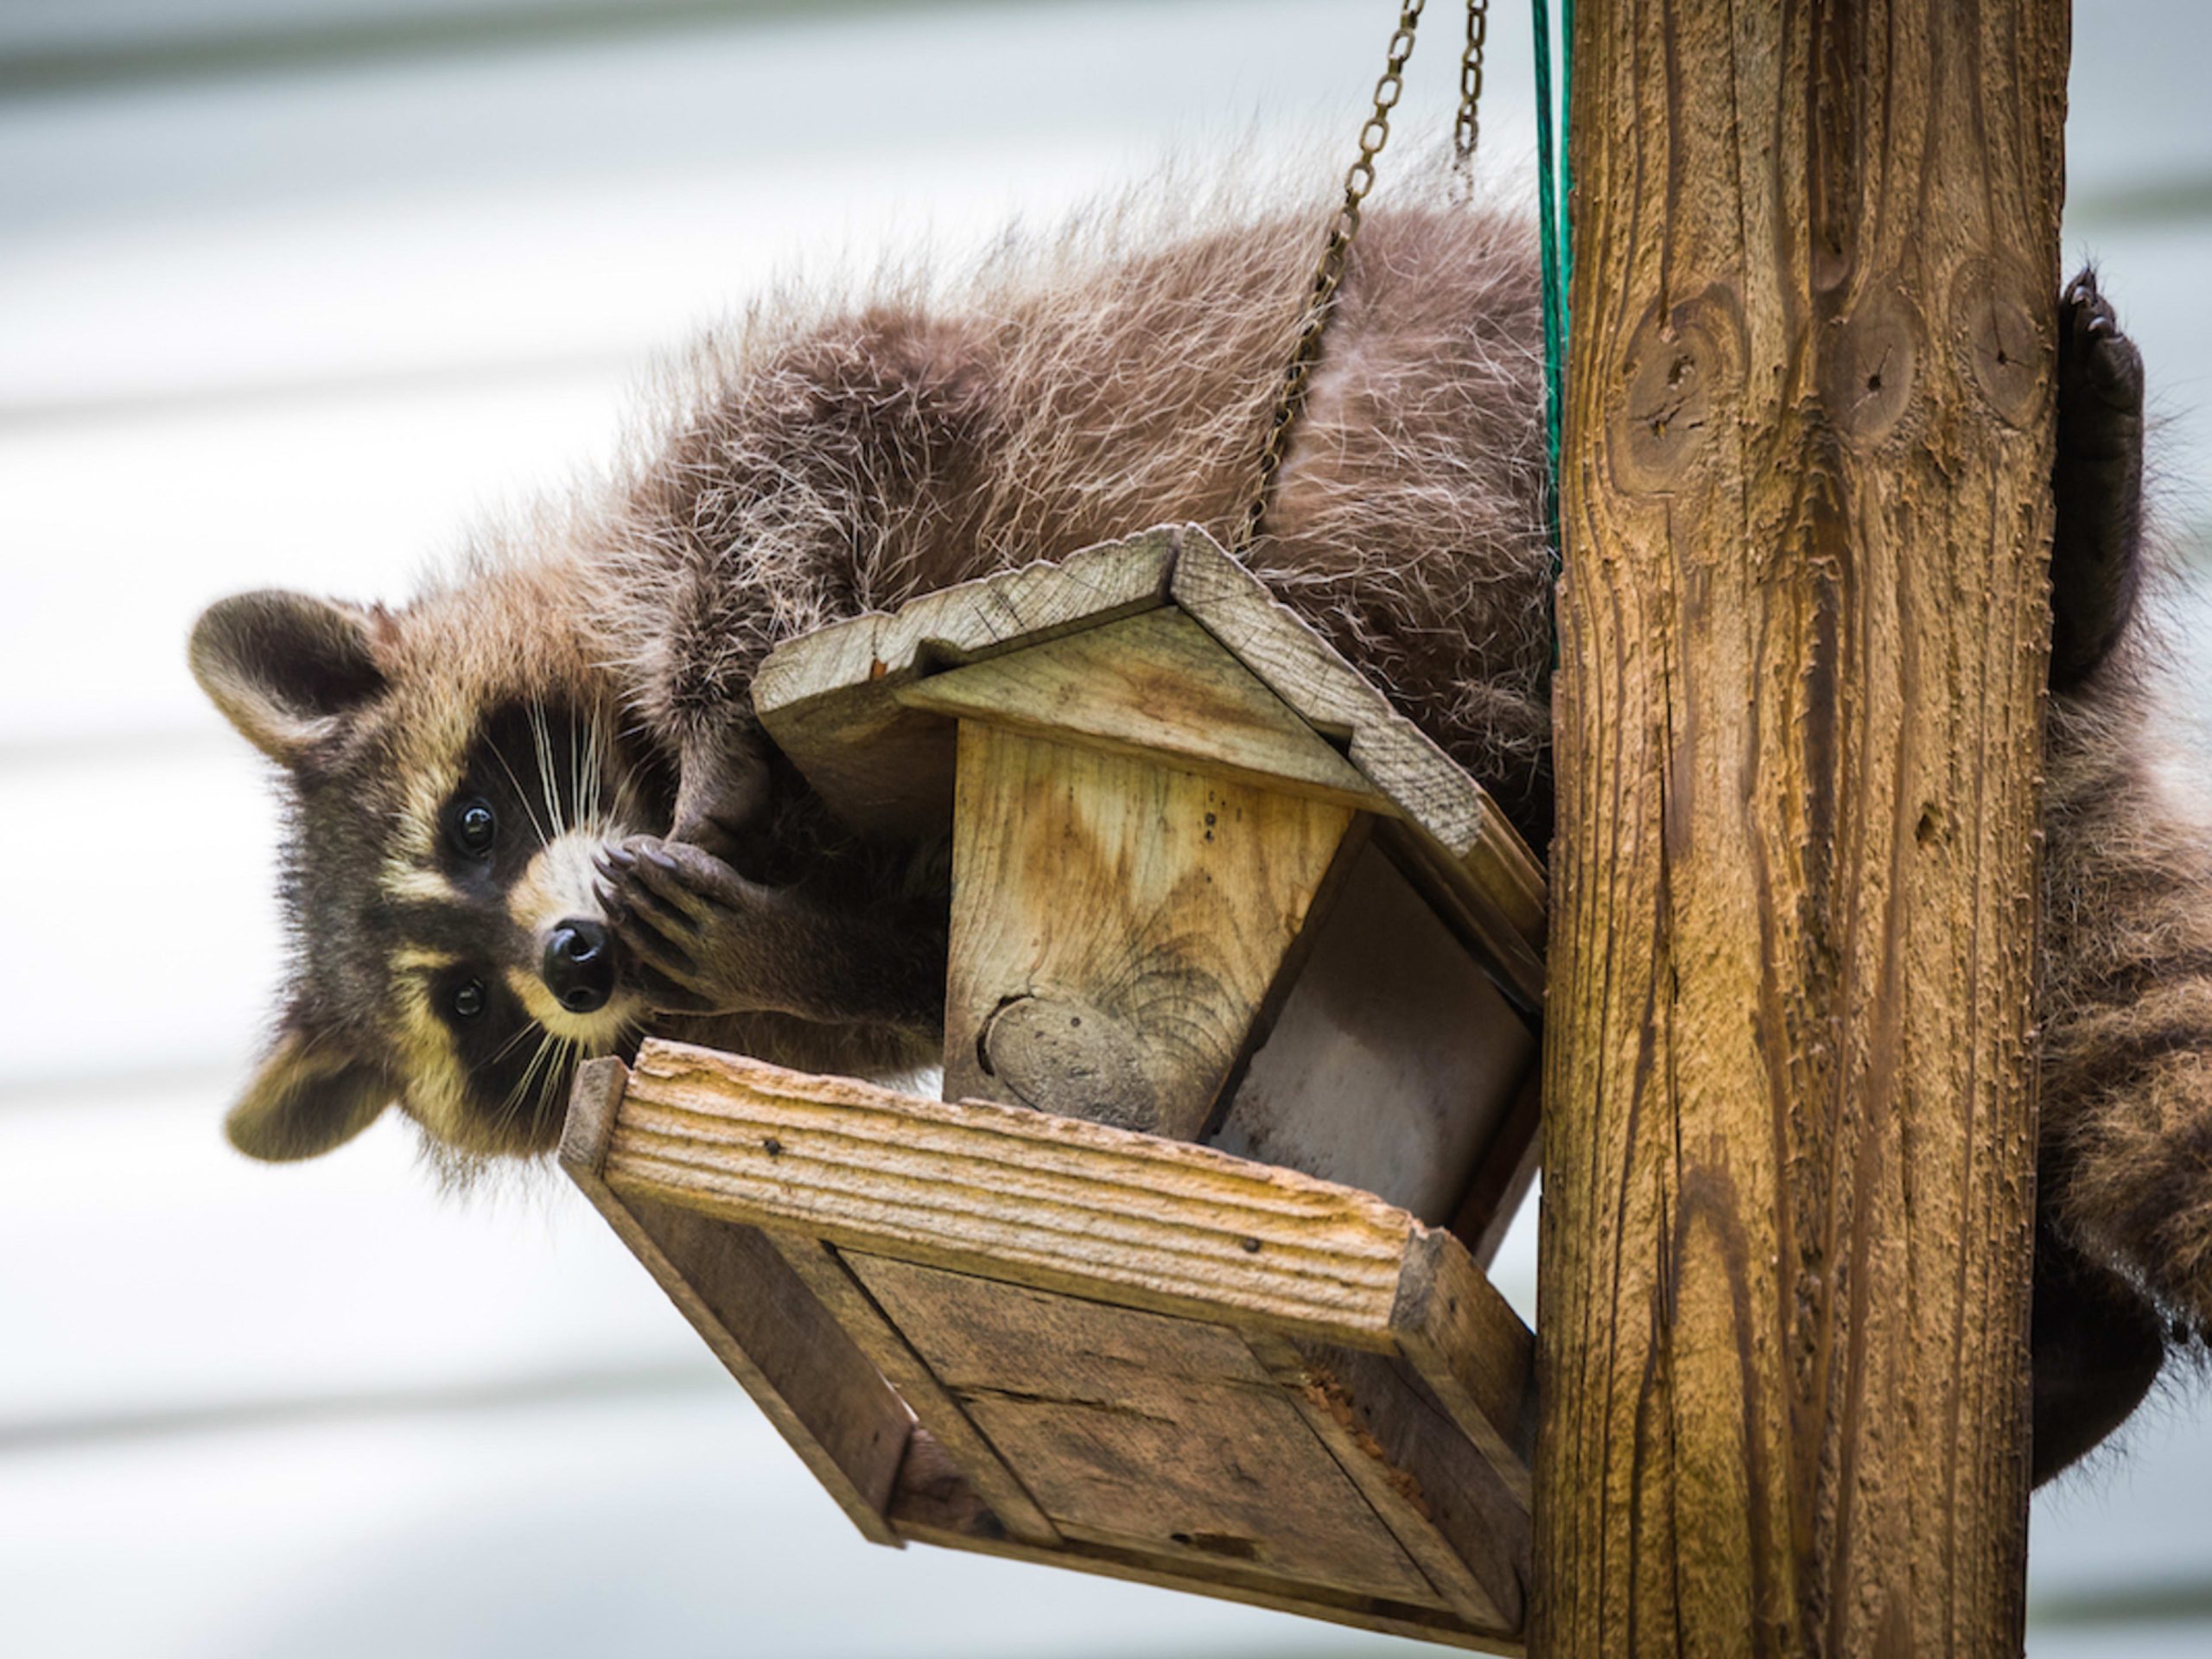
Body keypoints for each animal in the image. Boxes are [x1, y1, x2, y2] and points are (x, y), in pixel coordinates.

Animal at [191, 185, 2198, 1483]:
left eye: (472, 817)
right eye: (471, 1015)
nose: (574, 955)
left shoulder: (820, 434)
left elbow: (798, 456)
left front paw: (710, 739)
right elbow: (898, 965)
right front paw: (787, 942)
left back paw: (2080, 564)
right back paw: (2078, 1360)